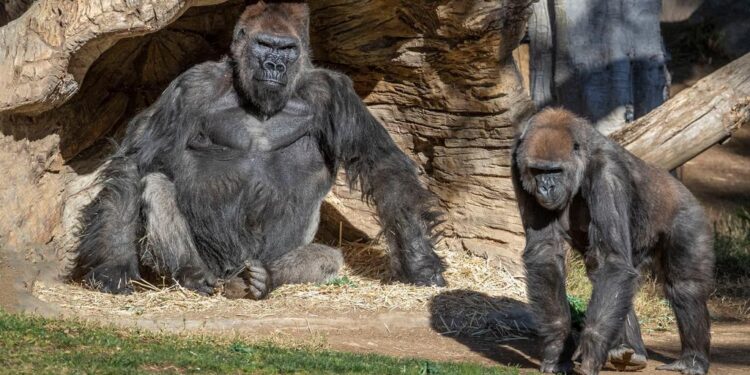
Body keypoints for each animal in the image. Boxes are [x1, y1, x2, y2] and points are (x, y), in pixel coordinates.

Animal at [69, 0, 446, 300]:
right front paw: (114, 264)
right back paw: (194, 275)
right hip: (215, 265)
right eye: (265, 45)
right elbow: (137, 163)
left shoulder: (332, 91)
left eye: (287, 49)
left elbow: (381, 165)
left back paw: (264, 277)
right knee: (157, 186)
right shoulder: (192, 86)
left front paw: (419, 260)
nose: (274, 66)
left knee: (327, 259)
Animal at [516, 108, 712, 375]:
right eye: (538, 171)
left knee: (684, 286)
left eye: (555, 171)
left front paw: (592, 345)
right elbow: (545, 252)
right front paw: (558, 344)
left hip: (689, 215)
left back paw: (692, 360)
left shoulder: (608, 172)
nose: (546, 188)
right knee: (607, 274)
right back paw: (628, 351)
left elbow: (612, 260)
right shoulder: (516, 161)